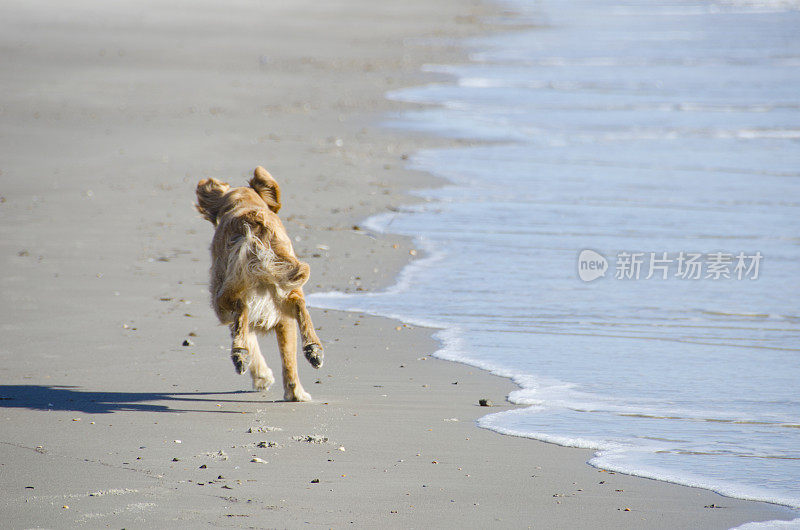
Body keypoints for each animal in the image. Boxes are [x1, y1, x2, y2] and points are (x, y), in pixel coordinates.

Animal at [195, 165, 324, 400]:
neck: (244, 202)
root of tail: (252, 221)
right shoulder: (283, 318)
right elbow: (288, 358)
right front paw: (294, 392)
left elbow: (247, 332)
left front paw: (263, 377)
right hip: (286, 280)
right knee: (299, 305)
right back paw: (313, 349)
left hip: (223, 296)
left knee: (241, 311)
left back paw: (240, 354)